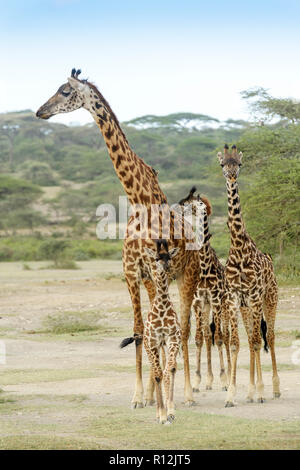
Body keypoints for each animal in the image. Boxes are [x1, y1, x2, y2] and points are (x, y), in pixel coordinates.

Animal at [119, 241, 180, 424]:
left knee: (167, 369)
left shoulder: (173, 338)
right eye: (157, 258)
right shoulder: (153, 341)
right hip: (152, 344)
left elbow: (169, 369)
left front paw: (170, 411)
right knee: (156, 370)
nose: (165, 267)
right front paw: (162, 415)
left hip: (163, 343)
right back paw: (156, 410)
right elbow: (159, 373)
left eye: (169, 256)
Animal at [179, 188, 231, 392]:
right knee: (208, 335)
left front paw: (224, 380)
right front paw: (197, 381)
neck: (205, 266)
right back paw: (209, 380)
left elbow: (219, 337)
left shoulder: (215, 299)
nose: (181, 207)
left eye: (197, 204)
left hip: (223, 306)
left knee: (224, 335)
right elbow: (200, 338)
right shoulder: (199, 301)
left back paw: (227, 376)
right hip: (207, 307)